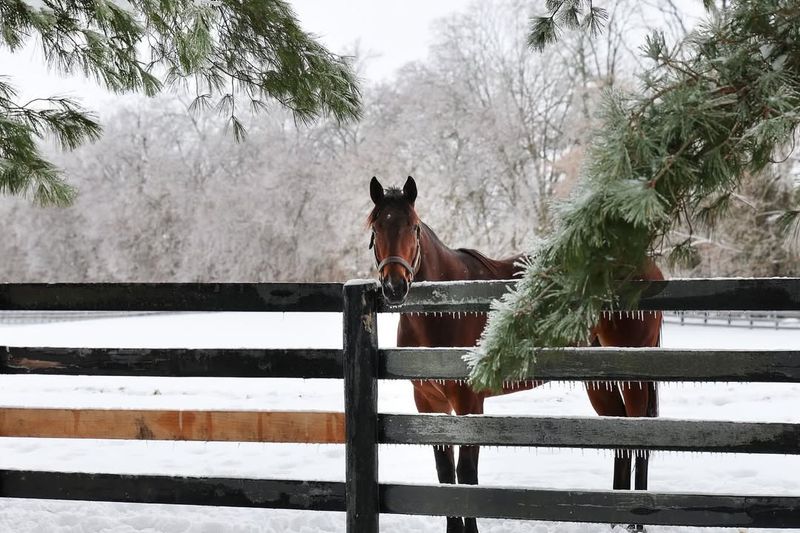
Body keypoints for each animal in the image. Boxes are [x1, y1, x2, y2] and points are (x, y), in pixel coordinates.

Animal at [368, 176, 664, 532]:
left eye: (413, 227)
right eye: (375, 229)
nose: (394, 287)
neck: (447, 308)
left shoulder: (469, 403)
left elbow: (466, 474)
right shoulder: (429, 403)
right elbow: (445, 473)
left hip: (634, 372)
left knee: (639, 431)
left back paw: (636, 520)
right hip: (599, 377)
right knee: (619, 428)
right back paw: (617, 518)